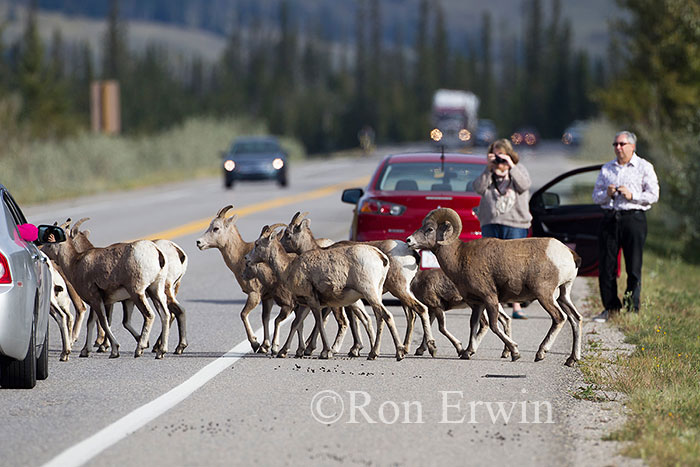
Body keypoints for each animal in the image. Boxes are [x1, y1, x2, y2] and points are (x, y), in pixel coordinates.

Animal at [246, 227, 404, 362]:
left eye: (257, 244)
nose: (247, 259)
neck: (288, 268)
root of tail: (381, 257)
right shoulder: (305, 304)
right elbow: (295, 324)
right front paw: (284, 352)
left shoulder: (313, 301)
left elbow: (320, 324)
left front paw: (325, 352)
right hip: (375, 295)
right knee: (379, 317)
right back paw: (373, 353)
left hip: (369, 293)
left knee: (386, 316)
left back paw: (398, 353)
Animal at [280, 210, 438, 356]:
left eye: (287, 234)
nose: (280, 246)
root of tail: (412, 254)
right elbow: (354, 320)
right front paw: (354, 349)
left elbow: (333, 320)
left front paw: (318, 349)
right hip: (402, 291)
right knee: (411, 315)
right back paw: (405, 348)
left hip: (398, 290)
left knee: (419, 310)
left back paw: (425, 348)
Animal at [408, 207, 584, 366]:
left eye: (430, 229)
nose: (409, 240)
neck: (459, 258)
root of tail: (569, 254)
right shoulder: (476, 303)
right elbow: (474, 325)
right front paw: (467, 352)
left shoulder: (490, 298)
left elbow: (493, 326)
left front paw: (515, 352)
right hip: (563, 295)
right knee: (575, 319)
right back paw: (571, 359)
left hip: (545, 295)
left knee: (559, 318)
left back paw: (541, 353)